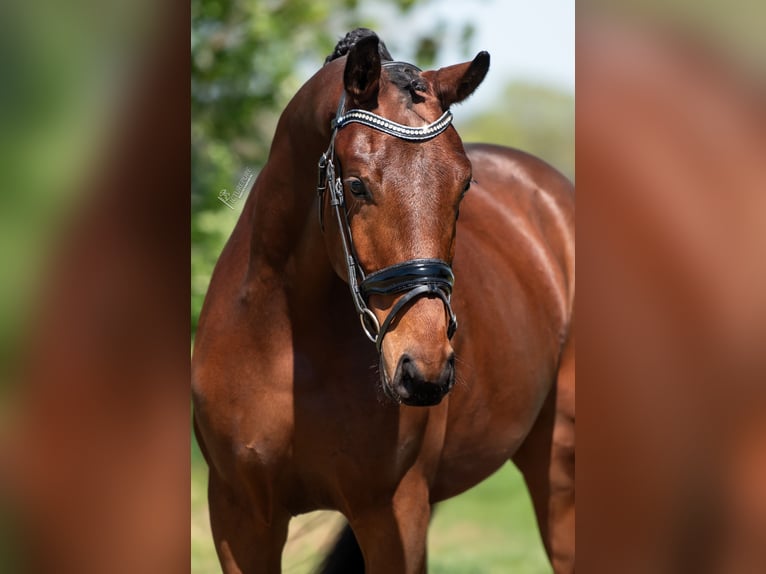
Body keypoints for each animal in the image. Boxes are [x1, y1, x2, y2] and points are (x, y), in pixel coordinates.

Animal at [192, 29, 575, 574]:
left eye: (464, 186)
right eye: (355, 184)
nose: (424, 368)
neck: (287, 349)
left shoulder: (394, 512)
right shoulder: (239, 517)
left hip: (559, 473)